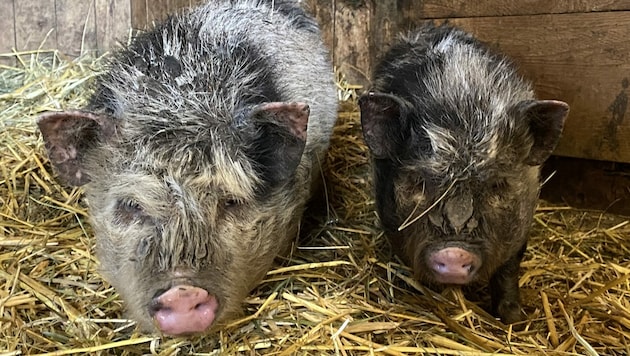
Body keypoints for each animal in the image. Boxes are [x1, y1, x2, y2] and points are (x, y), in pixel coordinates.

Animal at [360, 24, 572, 326]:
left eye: (498, 185)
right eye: (418, 182)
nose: (454, 253)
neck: (462, 104)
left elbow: (508, 272)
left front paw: (514, 320)